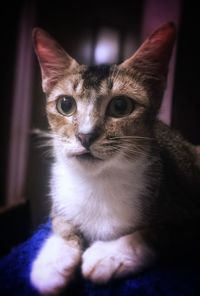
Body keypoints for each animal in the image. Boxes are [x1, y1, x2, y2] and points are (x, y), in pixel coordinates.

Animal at [29, 23, 200, 296]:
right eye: (65, 104)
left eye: (120, 106)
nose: (85, 136)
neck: (97, 181)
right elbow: (62, 222)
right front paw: (52, 262)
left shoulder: (189, 218)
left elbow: (158, 233)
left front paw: (108, 255)